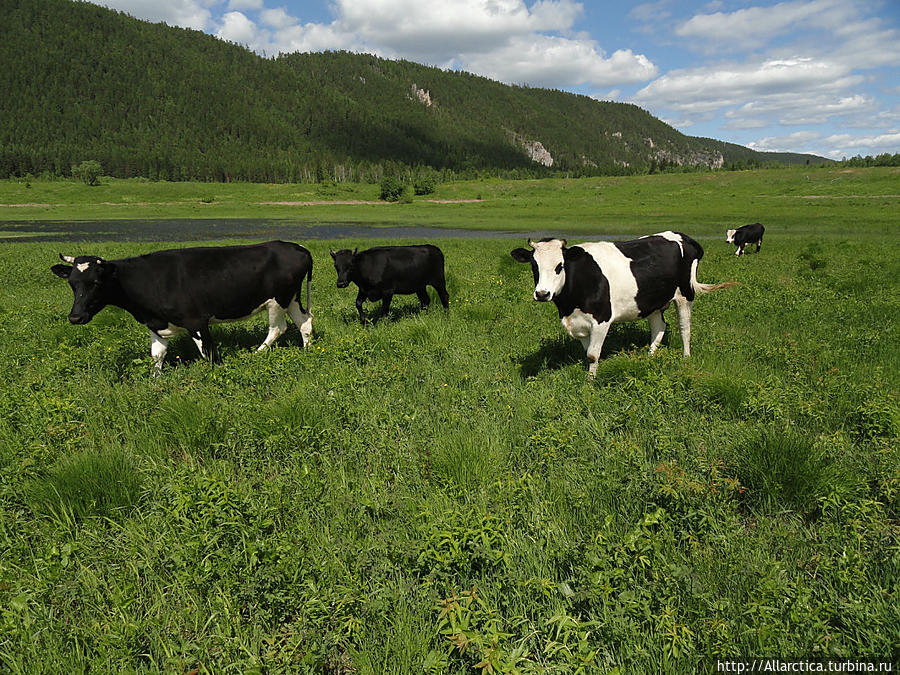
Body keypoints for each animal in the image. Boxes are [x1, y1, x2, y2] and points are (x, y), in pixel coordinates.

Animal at [52, 240, 314, 372]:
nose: (75, 317)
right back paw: (308, 352)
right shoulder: (155, 324)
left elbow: (209, 354)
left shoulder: (196, 321)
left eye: (96, 283)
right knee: (304, 322)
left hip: (277, 300)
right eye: (72, 283)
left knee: (278, 328)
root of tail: (297, 247)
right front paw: (155, 383)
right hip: (292, 297)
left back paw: (255, 355)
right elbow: (157, 356)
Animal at [510, 231, 736, 380]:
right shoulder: (579, 323)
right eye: (534, 266)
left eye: (560, 266)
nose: (542, 294)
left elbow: (592, 355)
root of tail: (683, 237)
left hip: (685, 295)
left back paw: (686, 358)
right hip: (651, 301)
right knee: (659, 327)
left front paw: (590, 384)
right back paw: (649, 357)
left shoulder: (601, 319)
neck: (569, 304)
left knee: (684, 328)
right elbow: (587, 353)